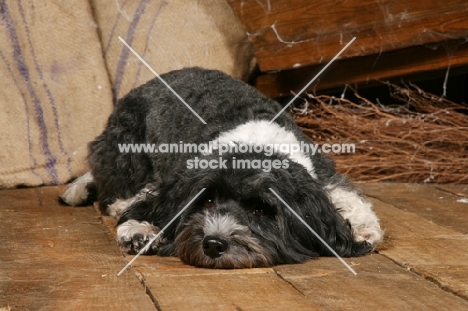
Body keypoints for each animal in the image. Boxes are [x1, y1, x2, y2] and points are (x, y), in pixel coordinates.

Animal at [61, 67, 384, 270]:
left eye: (260, 210)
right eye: (207, 201)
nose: (215, 244)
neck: (252, 144)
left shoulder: (322, 172)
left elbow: (347, 195)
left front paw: (362, 229)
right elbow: (150, 205)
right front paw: (139, 229)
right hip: (124, 147)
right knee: (112, 191)